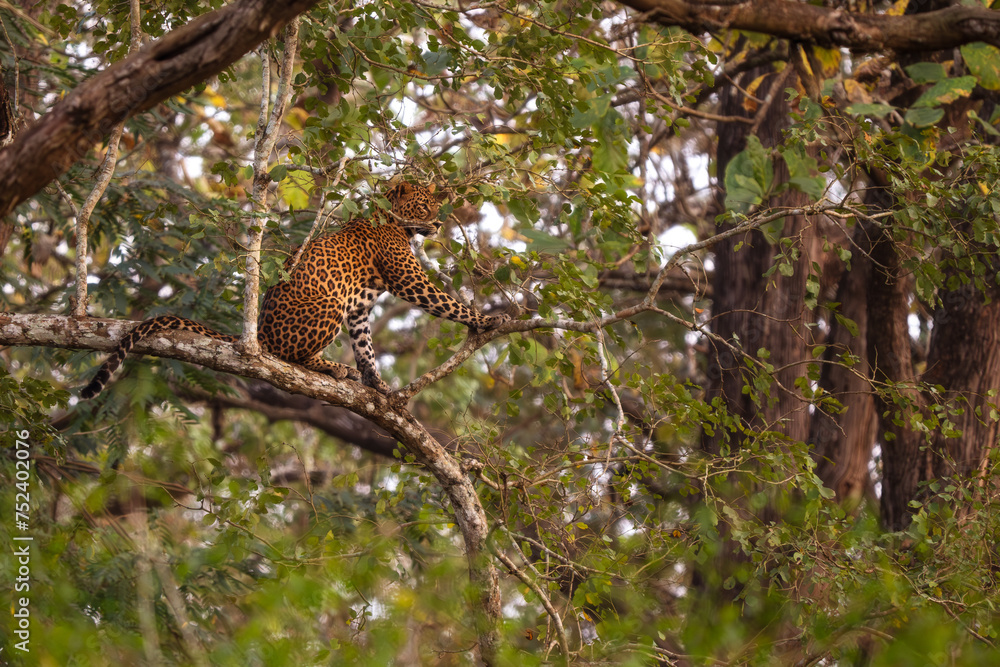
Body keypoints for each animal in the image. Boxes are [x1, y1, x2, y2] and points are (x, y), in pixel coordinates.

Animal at [80, 179, 509, 399]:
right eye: (423, 207)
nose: (437, 225)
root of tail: (259, 334)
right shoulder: (407, 278)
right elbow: (446, 302)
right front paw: (489, 319)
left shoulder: (359, 308)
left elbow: (365, 344)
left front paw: (376, 381)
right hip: (327, 307)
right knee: (291, 357)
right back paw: (331, 366)